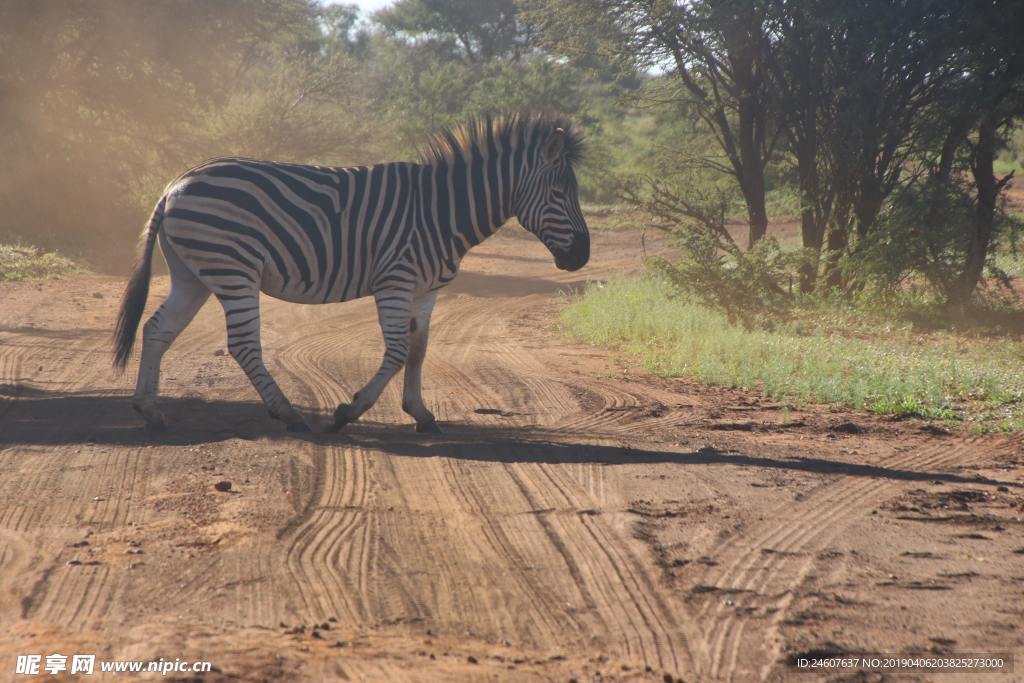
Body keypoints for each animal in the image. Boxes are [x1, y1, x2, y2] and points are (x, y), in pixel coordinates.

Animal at [112, 112, 589, 432]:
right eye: (560, 192)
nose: (582, 256)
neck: (440, 210)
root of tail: (176, 183)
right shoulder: (395, 280)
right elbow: (396, 351)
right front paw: (349, 410)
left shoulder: (425, 290)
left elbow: (419, 349)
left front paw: (420, 413)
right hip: (234, 270)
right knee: (243, 344)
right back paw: (289, 414)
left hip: (193, 274)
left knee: (156, 329)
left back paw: (149, 408)